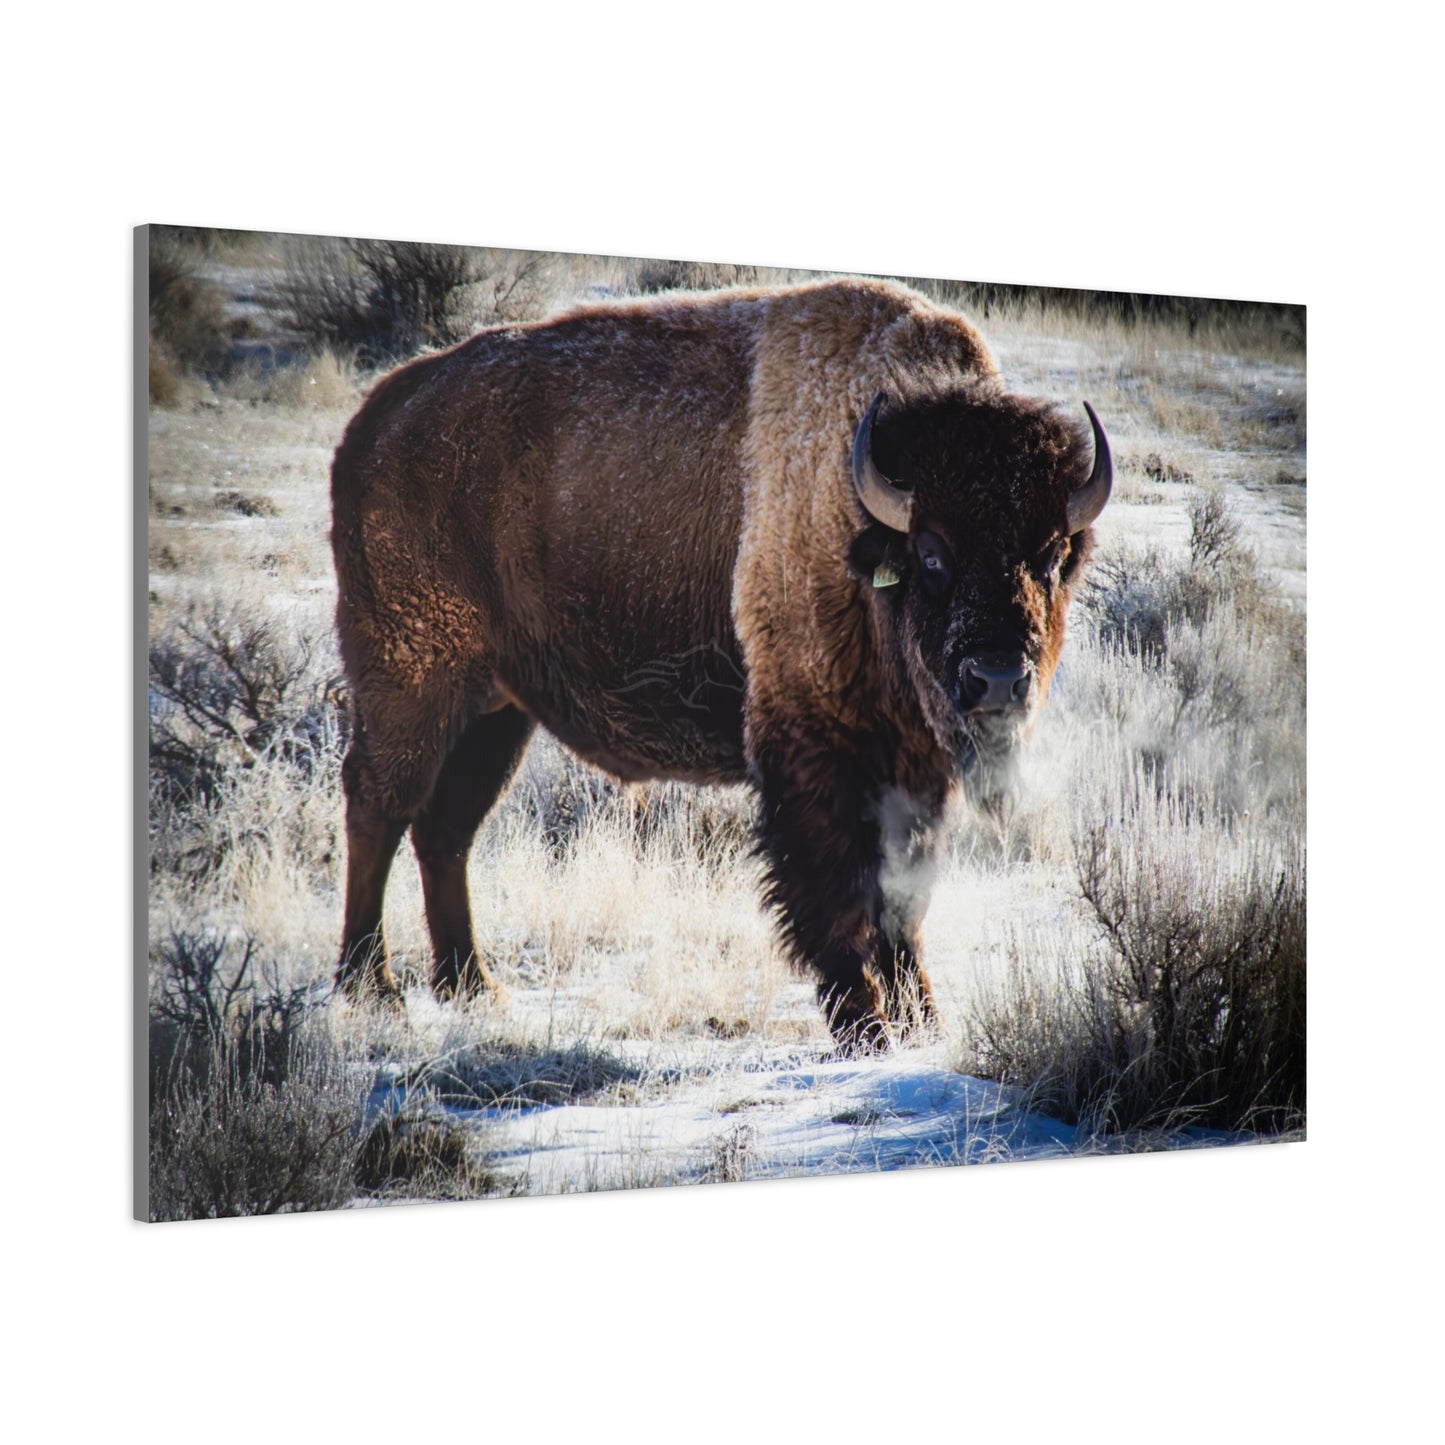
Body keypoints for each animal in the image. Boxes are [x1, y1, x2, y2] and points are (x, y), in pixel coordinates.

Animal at [330, 277, 1110, 1049]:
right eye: (931, 553)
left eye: (1049, 555)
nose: (997, 679)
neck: (860, 519)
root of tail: (374, 420)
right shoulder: (816, 749)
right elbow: (838, 892)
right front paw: (866, 1027)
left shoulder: (914, 767)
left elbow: (903, 899)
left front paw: (923, 1021)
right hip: (412, 682)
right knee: (379, 806)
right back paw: (371, 987)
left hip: (496, 711)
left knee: (446, 829)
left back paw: (470, 985)